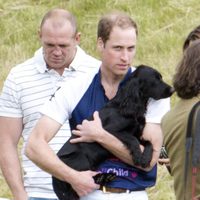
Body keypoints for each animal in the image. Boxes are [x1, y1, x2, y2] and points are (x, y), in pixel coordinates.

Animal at [52, 65, 173, 199]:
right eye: (155, 79)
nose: (172, 90)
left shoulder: (138, 134)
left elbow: (149, 143)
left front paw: (145, 158)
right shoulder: (109, 131)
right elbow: (132, 139)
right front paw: (137, 156)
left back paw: (106, 176)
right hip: (79, 159)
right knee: (81, 180)